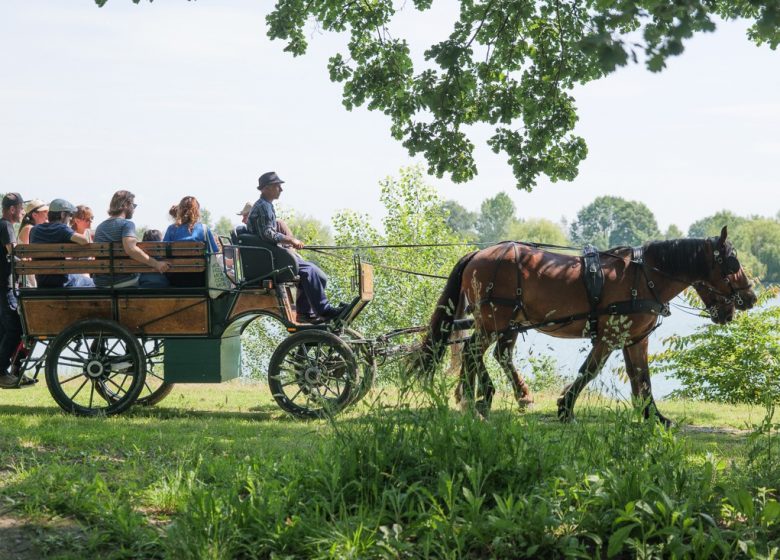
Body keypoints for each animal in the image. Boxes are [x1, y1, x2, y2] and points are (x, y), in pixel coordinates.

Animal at [420, 228, 756, 424]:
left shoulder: (635, 339)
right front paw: (565, 408)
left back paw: (488, 396)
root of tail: (477, 253)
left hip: (506, 323)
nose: (751, 298)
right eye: (732, 262)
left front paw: (653, 415)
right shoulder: (608, 337)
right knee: (473, 350)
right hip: (494, 320)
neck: (645, 276)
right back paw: (478, 398)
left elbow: (641, 378)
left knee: (491, 353)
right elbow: (589, 371)